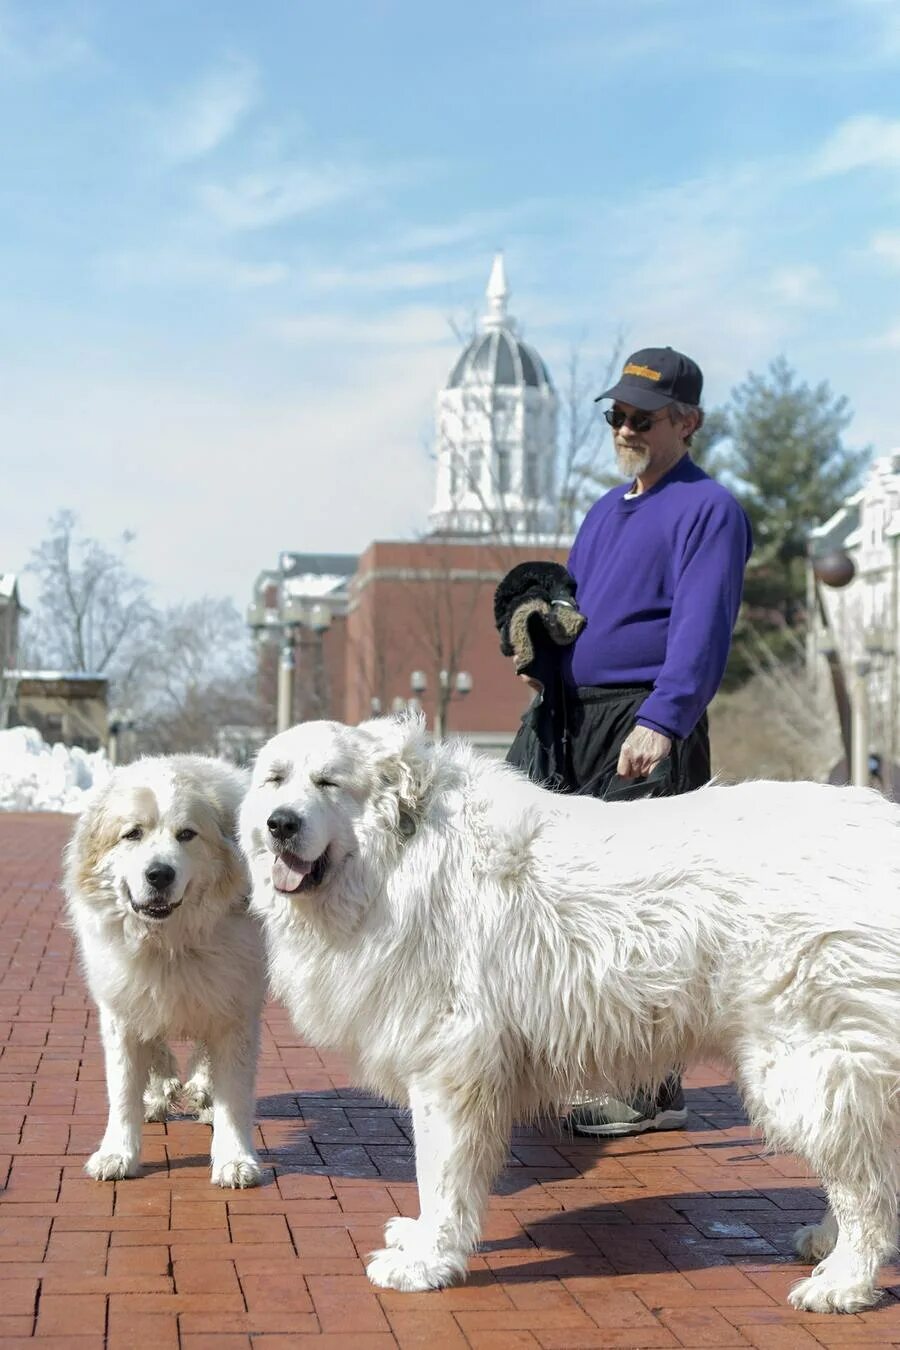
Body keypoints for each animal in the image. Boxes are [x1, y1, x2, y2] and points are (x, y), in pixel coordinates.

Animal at [65, 756, 265, 1188]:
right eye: (132, 834)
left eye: (186, 835)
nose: (160, 874)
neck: (168, 944)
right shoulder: (122, 1007)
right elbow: (123, 1088)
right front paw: (117, 1154)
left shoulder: (236, 1007)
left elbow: (234, 1093)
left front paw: (234, 1159)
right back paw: (159, 1093)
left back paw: (201, 1093)